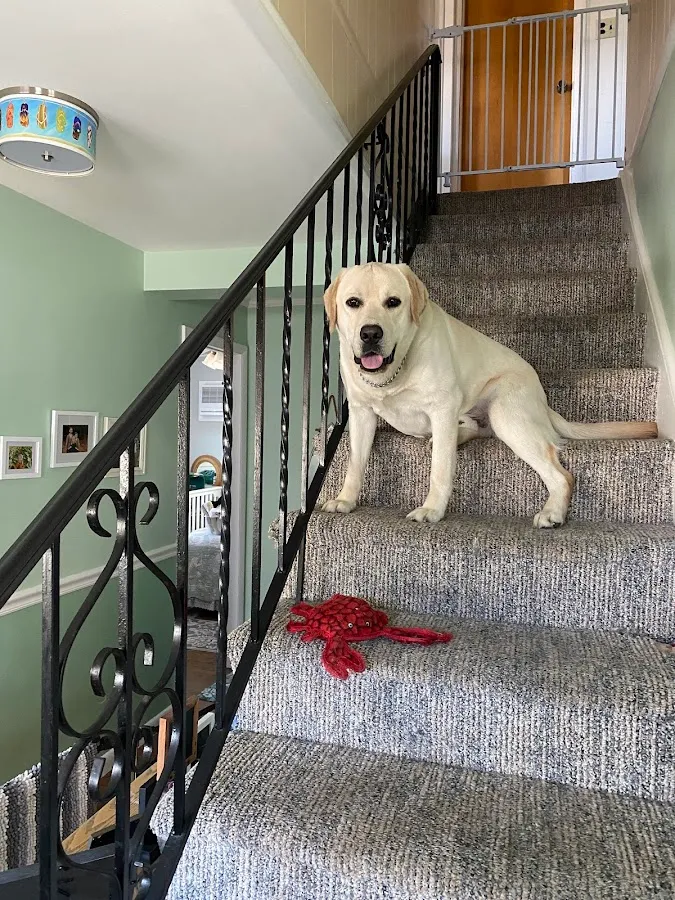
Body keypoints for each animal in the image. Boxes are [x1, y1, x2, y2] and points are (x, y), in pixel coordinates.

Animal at [322, 262, 656, 528]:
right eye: (353, 302)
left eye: (393, 302)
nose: (370, 333)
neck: (392, 374)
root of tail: (542, 398)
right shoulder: (361, 412)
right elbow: (355, 464)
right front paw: (345, 499)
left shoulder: (442, 408)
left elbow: (440, 468)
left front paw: (432, 509)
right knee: (472, 428)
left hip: (505, 413)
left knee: (561, 474)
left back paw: (553, 513)